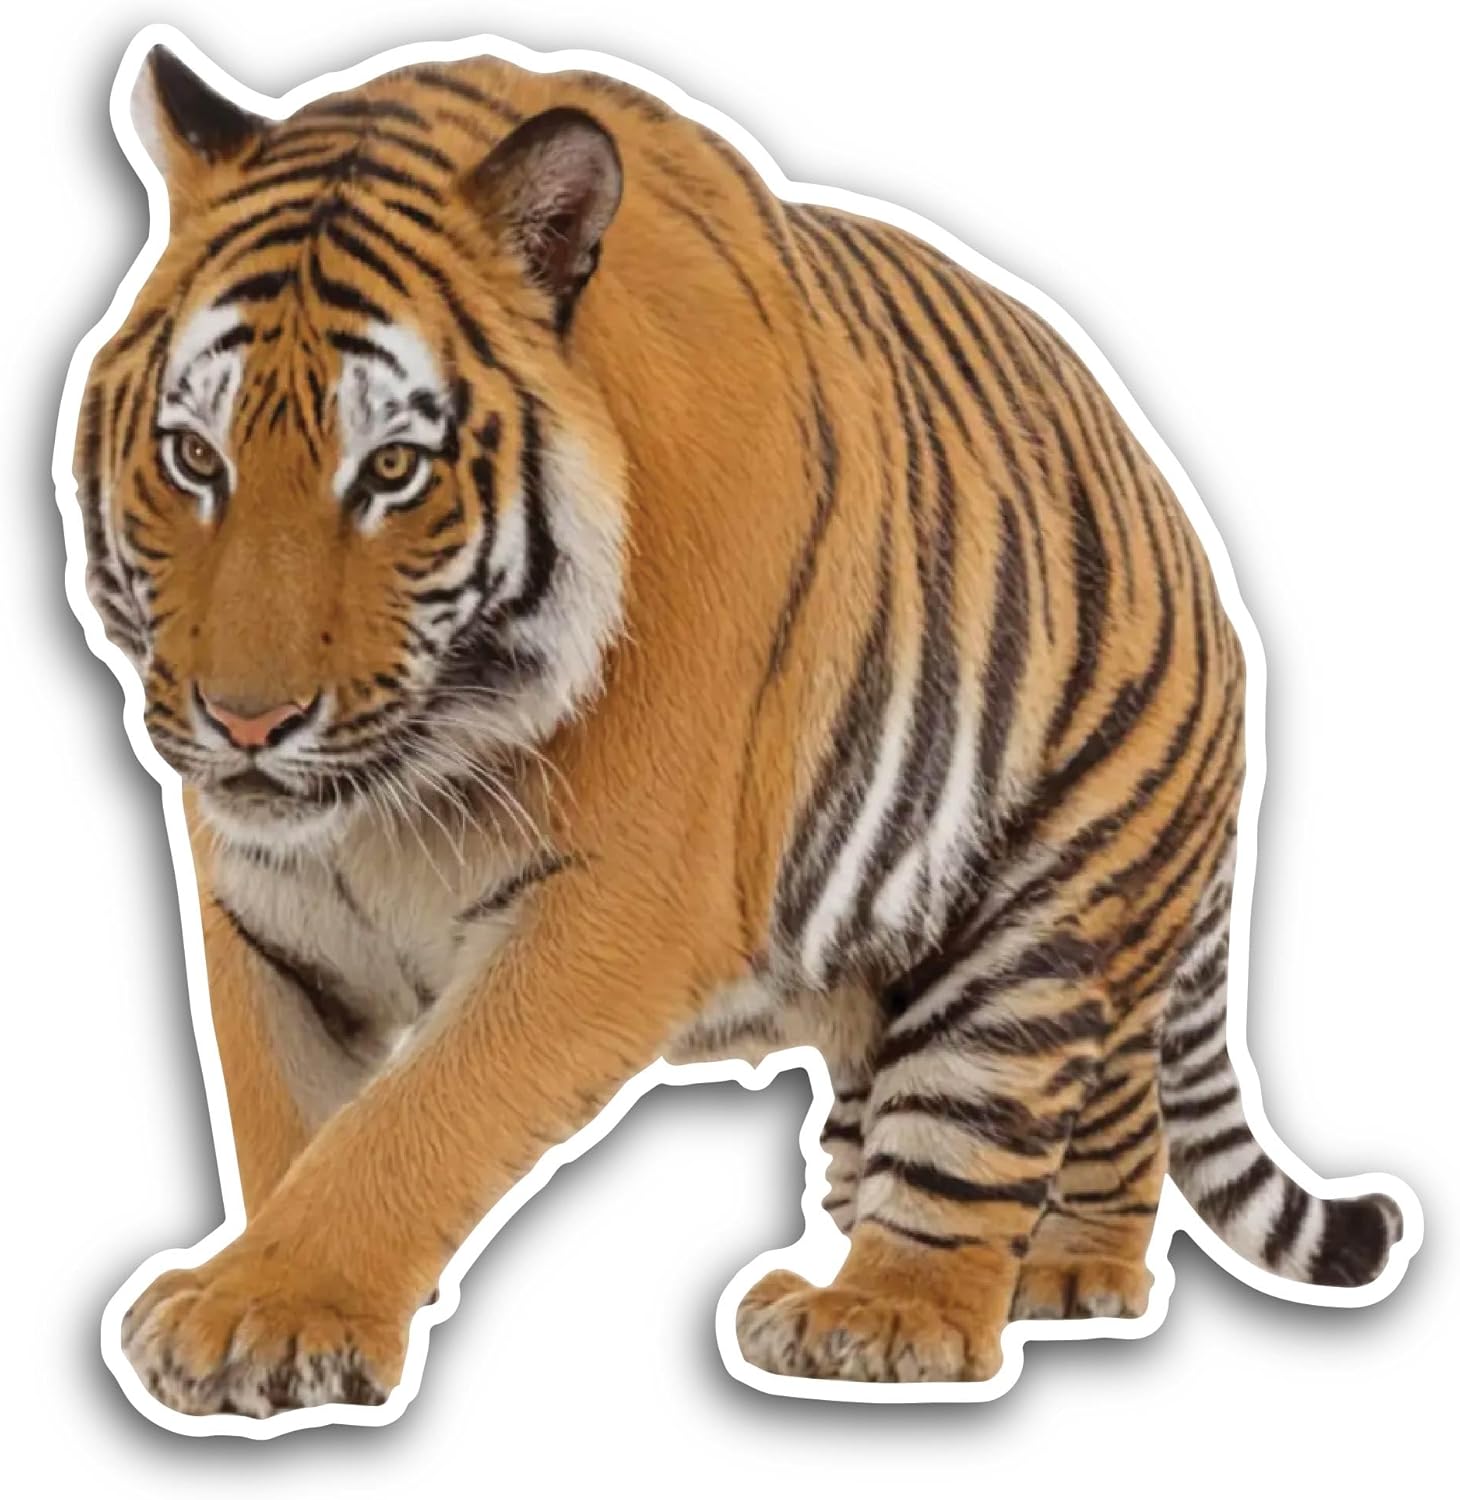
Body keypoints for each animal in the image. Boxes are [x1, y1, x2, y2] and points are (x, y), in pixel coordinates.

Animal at [64, 40, 1411, 1419]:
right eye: (193, 458)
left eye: (390, 471)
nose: (247, 720)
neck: (403, 788)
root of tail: (1175, 516)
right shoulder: (264, 915)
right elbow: (294, 1123)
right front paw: (259, 1295)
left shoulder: (619, 906)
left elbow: (419, 1118)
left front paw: (257, 1313)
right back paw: (935, 1276)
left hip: (1051, 912)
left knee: (1001, 1127)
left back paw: (914, 1307)